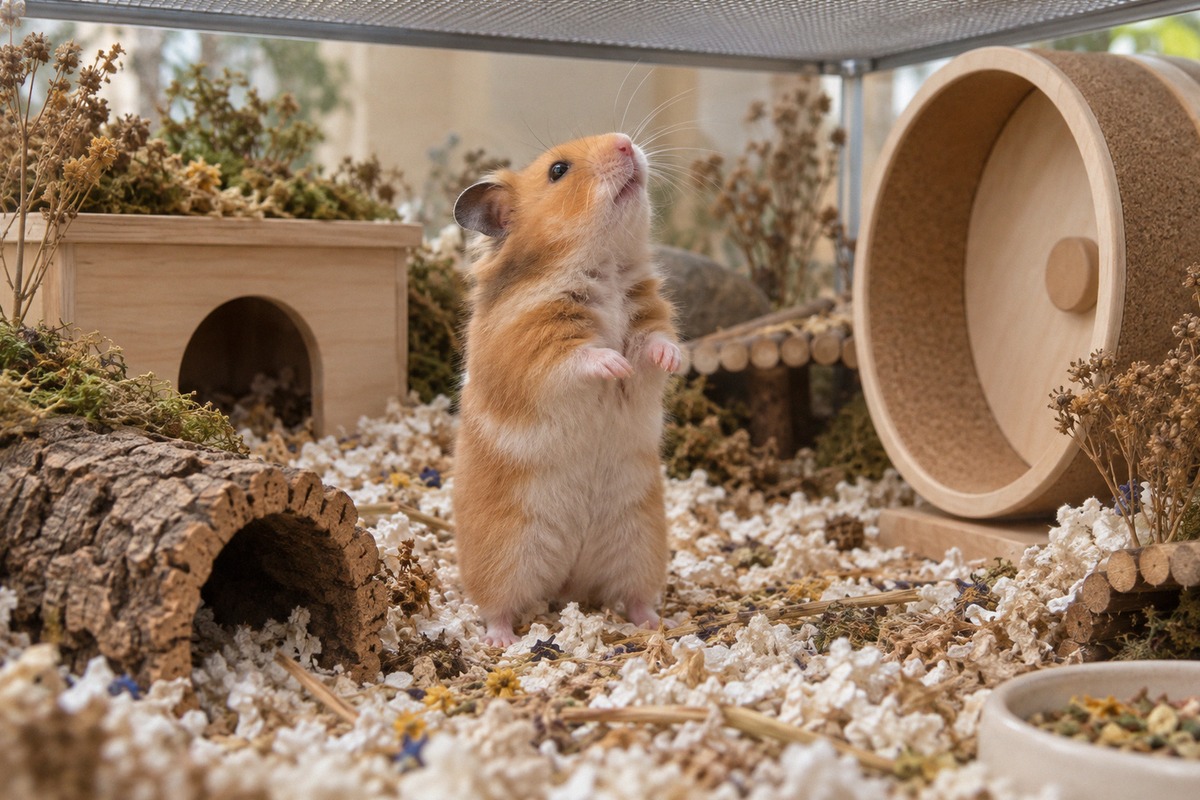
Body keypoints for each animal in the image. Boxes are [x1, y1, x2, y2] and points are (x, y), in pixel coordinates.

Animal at [452, 132, 682, 647]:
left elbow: (657, 343)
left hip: (640, 543)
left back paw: (657, 624)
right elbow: (581, 357)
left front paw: (670, 360)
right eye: (558, 171)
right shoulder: (535, 348)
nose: (625, 143)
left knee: (634, 596)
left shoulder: (650, 315)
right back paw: (502, 641)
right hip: (505, 554)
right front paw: (616, 365)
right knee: (495, 605)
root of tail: (568, 579)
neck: (604, 265)